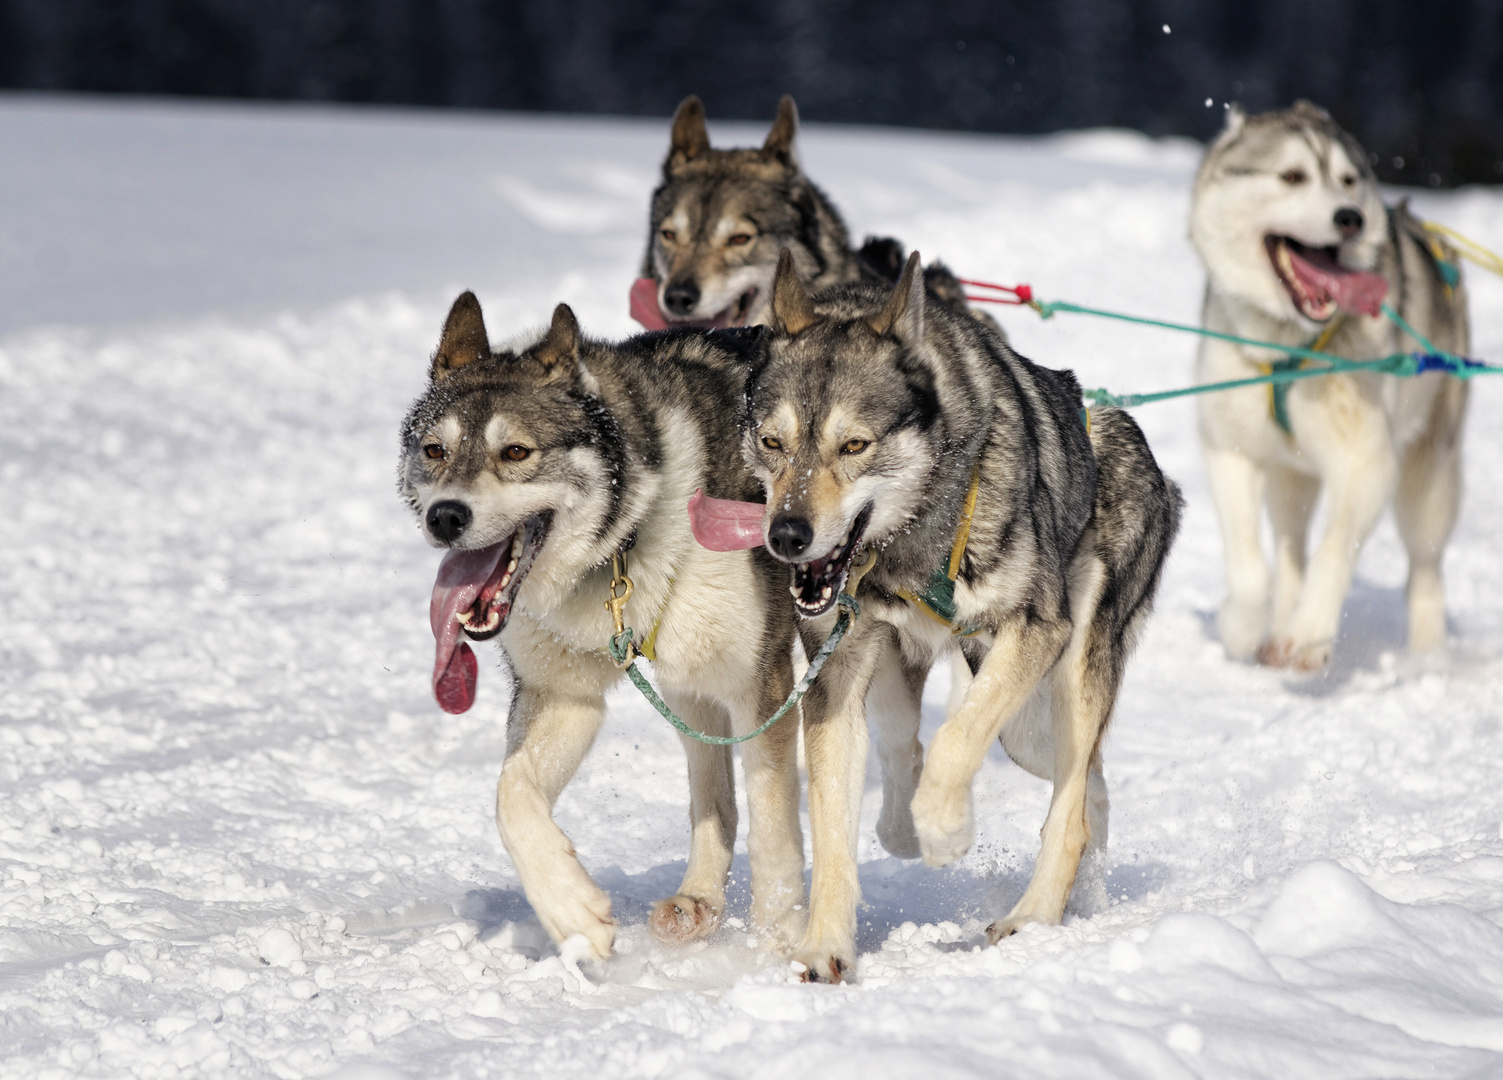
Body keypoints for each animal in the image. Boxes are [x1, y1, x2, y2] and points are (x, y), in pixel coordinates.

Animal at [393, 291, 805, 961]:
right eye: (435, 450)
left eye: (516, 452)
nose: (445, 517)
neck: (624, 541)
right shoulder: (563, 695)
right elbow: (511, 794)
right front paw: (571, 908)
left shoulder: (759, 684)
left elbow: (775, 828)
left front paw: (777, 940)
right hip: (688, 685)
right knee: (713, 793)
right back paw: (696, 902)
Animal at [745, 250, 1178, 979]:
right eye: (773, 442)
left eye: (854, 446)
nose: (787, 536)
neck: (909, 541)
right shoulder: (837, 671)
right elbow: (834, 825)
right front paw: (825, 946)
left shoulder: (1036, 628)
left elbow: (953, 743)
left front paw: (946, 830)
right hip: (1022, 725)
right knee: (1081, 783)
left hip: (1066, 671)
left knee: (1068, 802)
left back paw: (1032, 914)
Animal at [1184, 103, 1466, 675]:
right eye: (1292, 177)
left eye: (1348, 180)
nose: (1350, 217)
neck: (1285, 348)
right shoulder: (1231, 449)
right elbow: (1249, 566)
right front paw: (1242, 625)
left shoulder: (1364, 462)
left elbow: (1334, 551)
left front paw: (1309, 635)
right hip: (1290, 477)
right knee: (1290, 546)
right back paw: (1275, 628)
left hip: (1428, 483)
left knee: (1424, 574)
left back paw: (1425, 661)